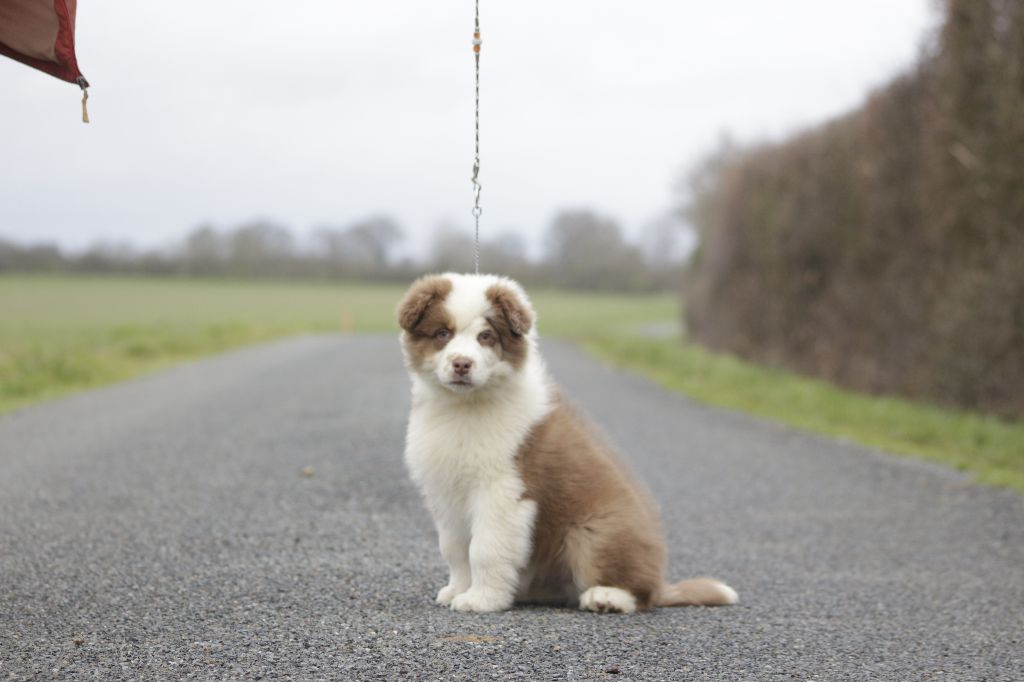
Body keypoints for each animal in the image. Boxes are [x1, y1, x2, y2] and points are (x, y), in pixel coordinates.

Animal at [395, 274, 741, 614]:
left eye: (486, 336)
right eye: (443, 333)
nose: (462, 364)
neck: (465, 406)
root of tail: (660, 583)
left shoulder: (504, 489)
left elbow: (485, 548)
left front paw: (481, 600)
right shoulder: (446, 489)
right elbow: (454, 548)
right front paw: (457, 590)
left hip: (593, 532)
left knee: (641, 595)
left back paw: (606, 598)